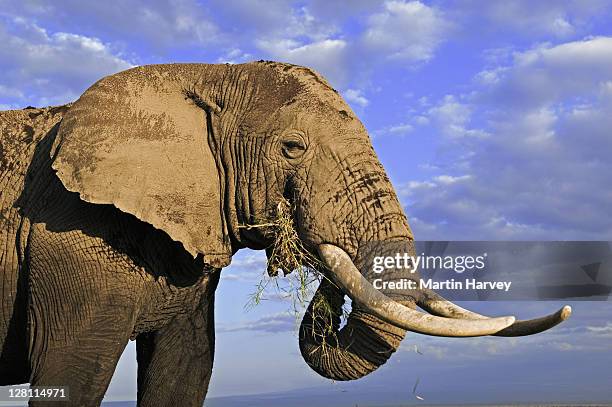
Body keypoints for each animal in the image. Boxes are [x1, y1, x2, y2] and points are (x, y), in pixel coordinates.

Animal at [0, 62, 572, 406]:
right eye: (292, 148)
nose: (313, 252)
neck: (200, 76)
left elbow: (185, 371)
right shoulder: (73, 236)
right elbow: (71, 376)